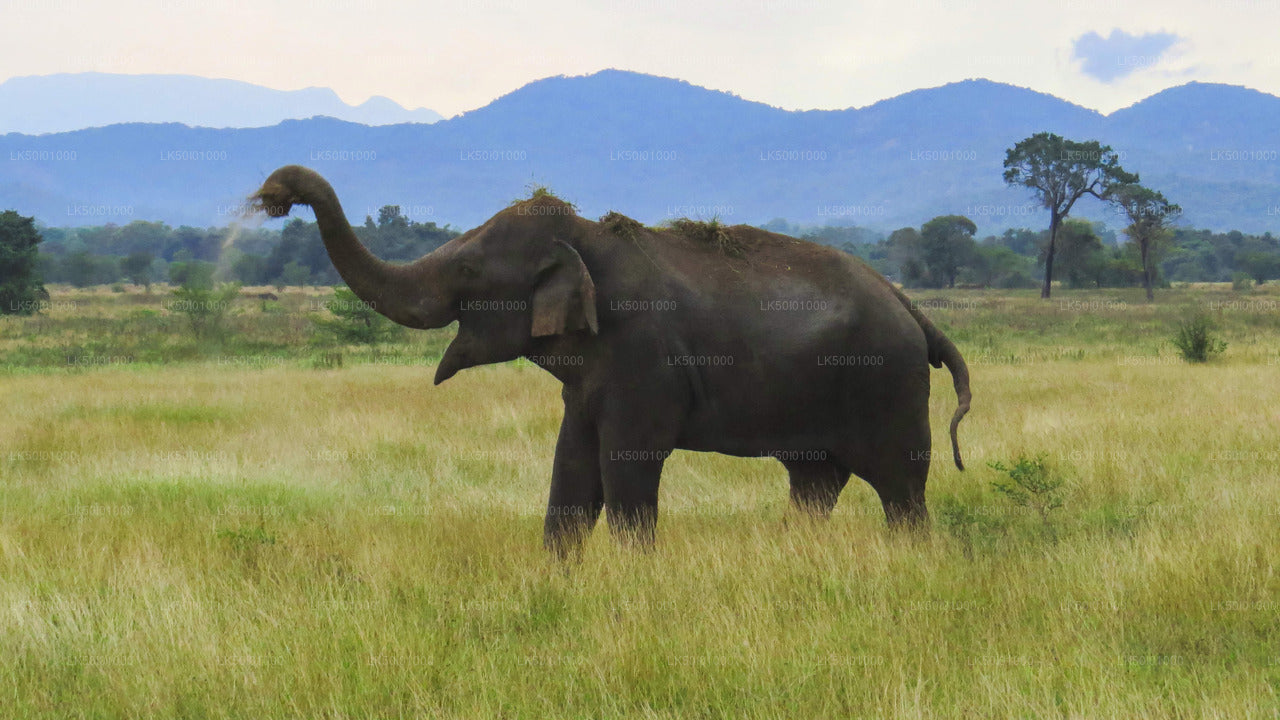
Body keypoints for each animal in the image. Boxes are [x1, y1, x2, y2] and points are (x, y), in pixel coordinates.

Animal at [247, 165, 967, 550]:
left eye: (471, 268)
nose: (276, 191)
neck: (587, 239)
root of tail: (912, 308)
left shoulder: (642, 360)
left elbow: (625, 472)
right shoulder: (590, 380)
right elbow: (570, 472)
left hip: (889, 386)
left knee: (901, 489)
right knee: (816, 482)